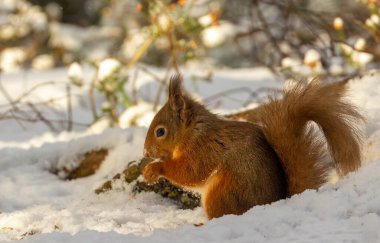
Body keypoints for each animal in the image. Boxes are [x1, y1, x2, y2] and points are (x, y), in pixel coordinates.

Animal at [142, 75, 362, 219]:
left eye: (160, 132)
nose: (145, 151)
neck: (193, 132)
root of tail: (276, 202)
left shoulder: (203, 150)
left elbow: (190, 173)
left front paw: (154, 168)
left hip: (223, 192)